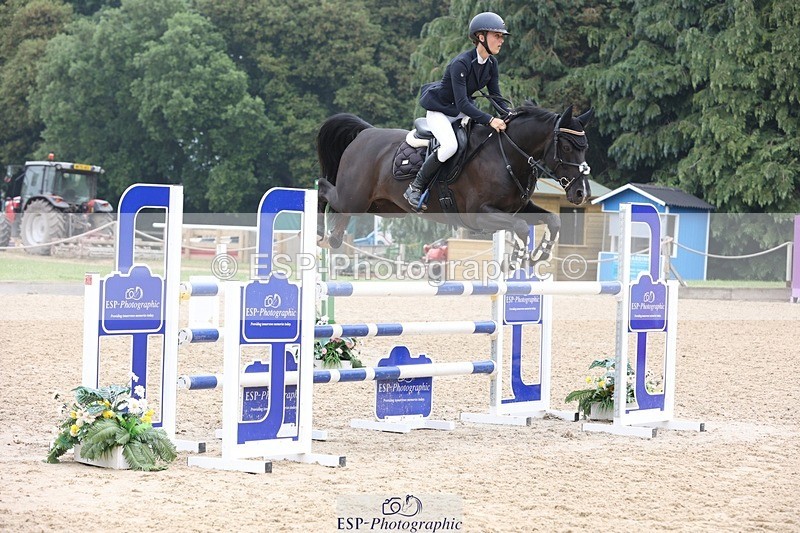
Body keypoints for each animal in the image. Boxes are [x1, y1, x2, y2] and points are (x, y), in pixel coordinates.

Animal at [316, 102, 593, 264]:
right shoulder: (480, 214)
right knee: (323, 188)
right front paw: (519, 256)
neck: (506, 155)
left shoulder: (519, 208)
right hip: (354, 198)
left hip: (383, 207)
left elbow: (553, 220)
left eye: (585, 146)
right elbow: (522, 227)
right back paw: (322, 233)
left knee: (339, 210)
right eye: (567, 147)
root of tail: (364, 133)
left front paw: (540, 253)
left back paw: (334, 237)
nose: (581, 193)